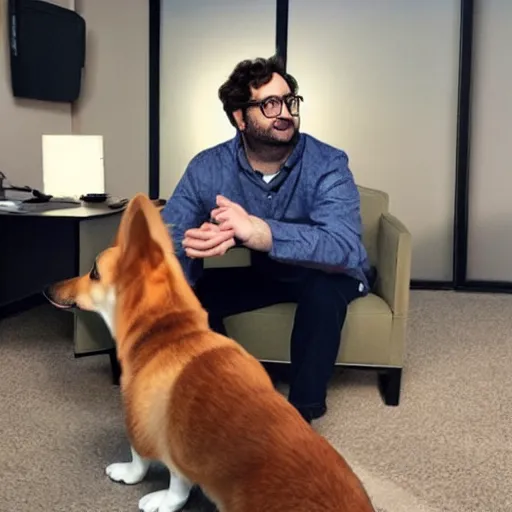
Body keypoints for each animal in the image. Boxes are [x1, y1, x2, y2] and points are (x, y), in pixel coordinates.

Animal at [44, 194, 374, 510]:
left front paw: (145, 488)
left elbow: (154, 470)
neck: (169, 331)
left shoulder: (145, 427)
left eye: (94, 272)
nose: (48, 289)